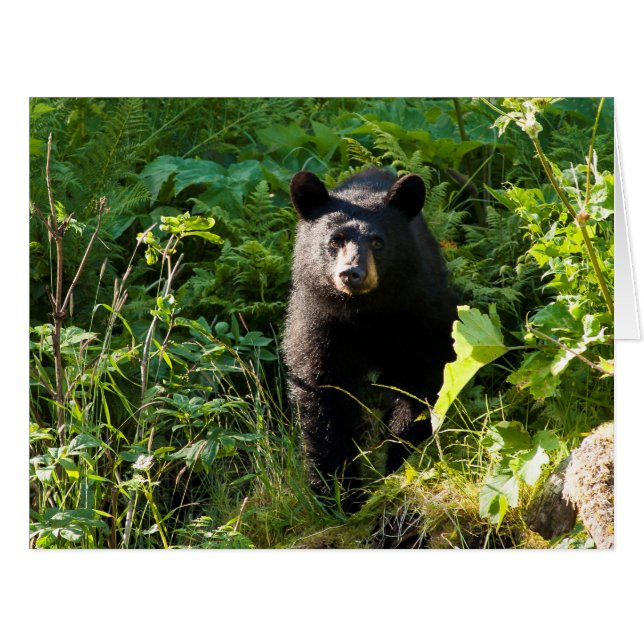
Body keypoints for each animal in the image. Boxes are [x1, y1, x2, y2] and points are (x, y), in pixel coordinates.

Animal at [283, 167, 458, 507]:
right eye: (335, 241)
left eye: (378, 241)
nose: (352, 273)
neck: (366, 313)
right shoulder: (319, 325)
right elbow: (323, 396)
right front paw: (338, 494)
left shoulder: (418, 315)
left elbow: (420, 382)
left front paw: (399, 461)